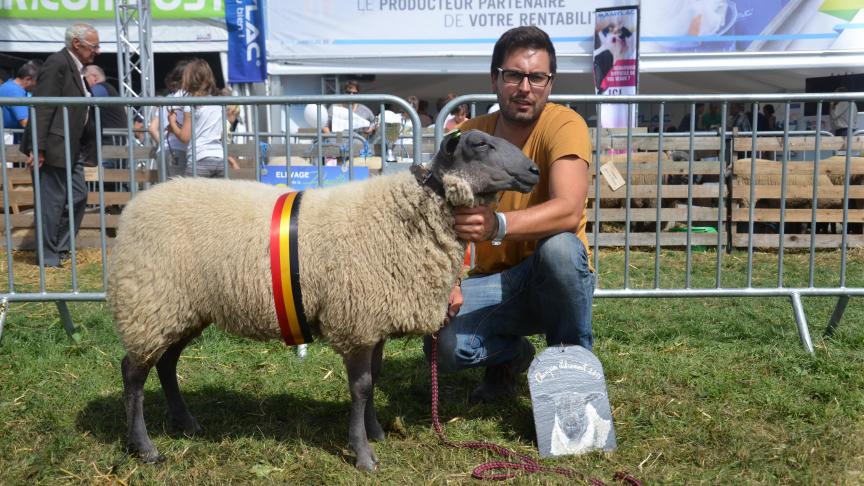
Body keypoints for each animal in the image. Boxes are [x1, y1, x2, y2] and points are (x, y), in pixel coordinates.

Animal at [106, 129, 540, 470]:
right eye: (481, 144)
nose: (535, 171)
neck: (406, 214)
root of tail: (133, 208)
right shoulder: (356, 320)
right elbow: (361, 387)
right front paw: (363, 454)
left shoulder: (373, 322)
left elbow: (373, 380)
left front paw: (375, 431)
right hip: (148, 301)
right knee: (133, 373)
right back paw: (144, 447)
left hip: (180, 309)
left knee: (166, 364)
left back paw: (187, 424)